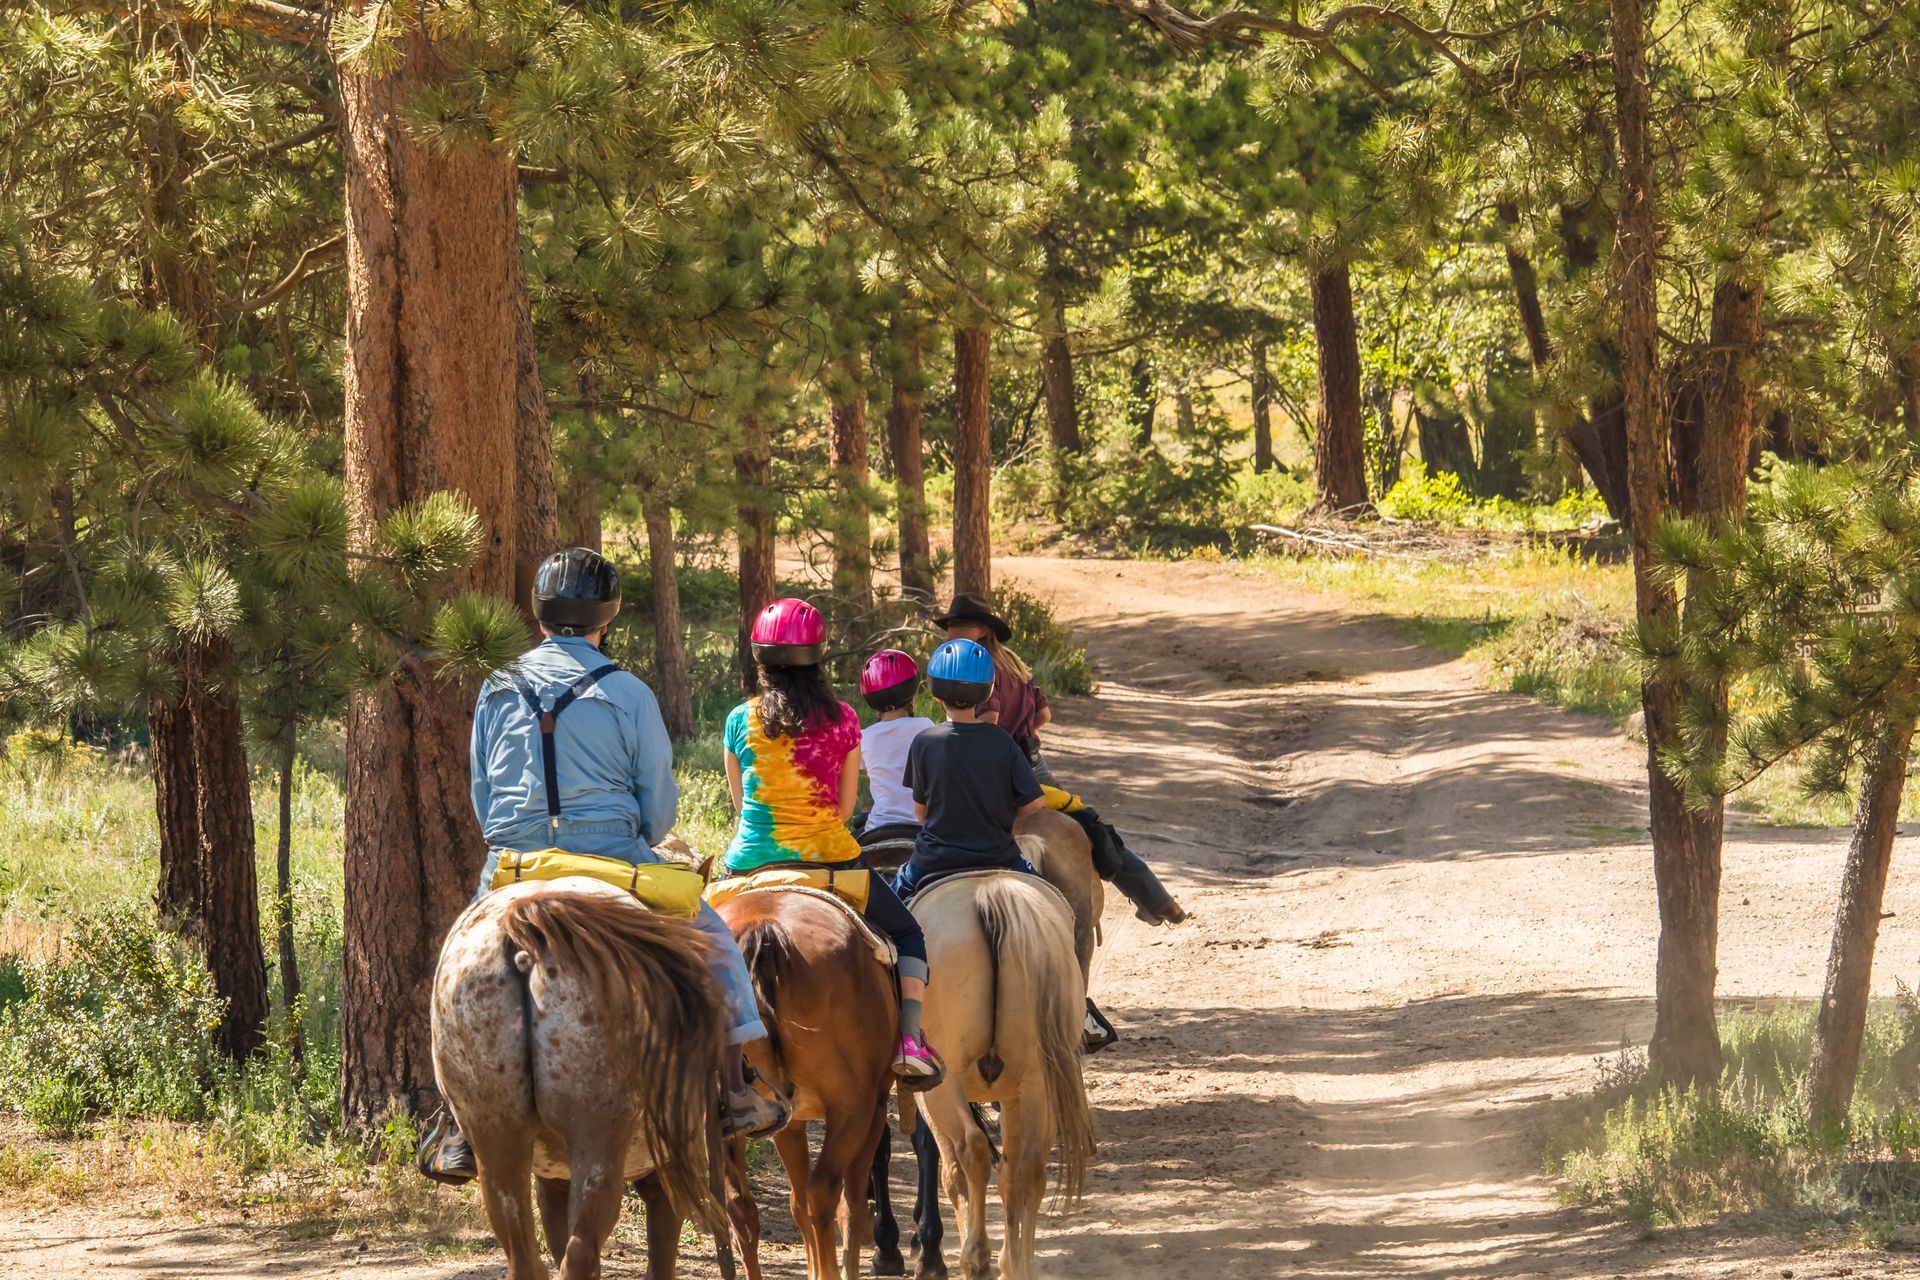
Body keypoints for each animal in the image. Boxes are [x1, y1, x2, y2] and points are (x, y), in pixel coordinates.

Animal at [433, 882, 725, 1280]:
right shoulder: (668, 1174)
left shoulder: (554, 1182)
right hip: (598, 1145)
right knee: (581, 1253)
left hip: (497, 1145)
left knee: (526, 1258)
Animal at [721, 886, 898, 1280]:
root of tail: (764, 929)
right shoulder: (875, 1105)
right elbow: (851, 1203)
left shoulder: (789, 1120)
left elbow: (796, 1202)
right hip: (853, 1109)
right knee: (826, 1193)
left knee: (742, 1207)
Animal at [906, 871, 1090, 1280]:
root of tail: (990, 896)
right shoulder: (1013, 1095)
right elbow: (1010, 1174)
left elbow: (948, 1168)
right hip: (1038, 1082)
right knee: (1027, 1168)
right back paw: (1020, 1265)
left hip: (943, 1087)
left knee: (970, 1153)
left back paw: (975, 1257)